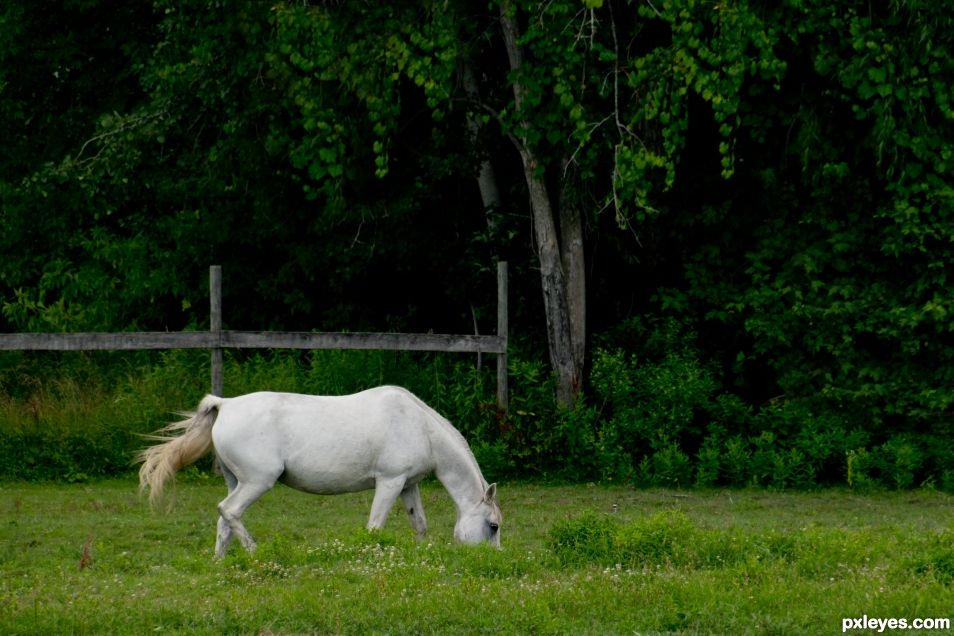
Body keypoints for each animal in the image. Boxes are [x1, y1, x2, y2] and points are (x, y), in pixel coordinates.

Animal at [140, 382, 502, 556]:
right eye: (493, 526)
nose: (491, 557)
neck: (419, 425)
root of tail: (225, 404)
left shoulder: (408, 485)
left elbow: (420, 525)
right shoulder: (389, 482)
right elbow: (374, 527)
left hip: (236, 482)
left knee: (224, 520)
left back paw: (220, 562)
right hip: (257, 482)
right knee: (229, 511)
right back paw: (255, 551)